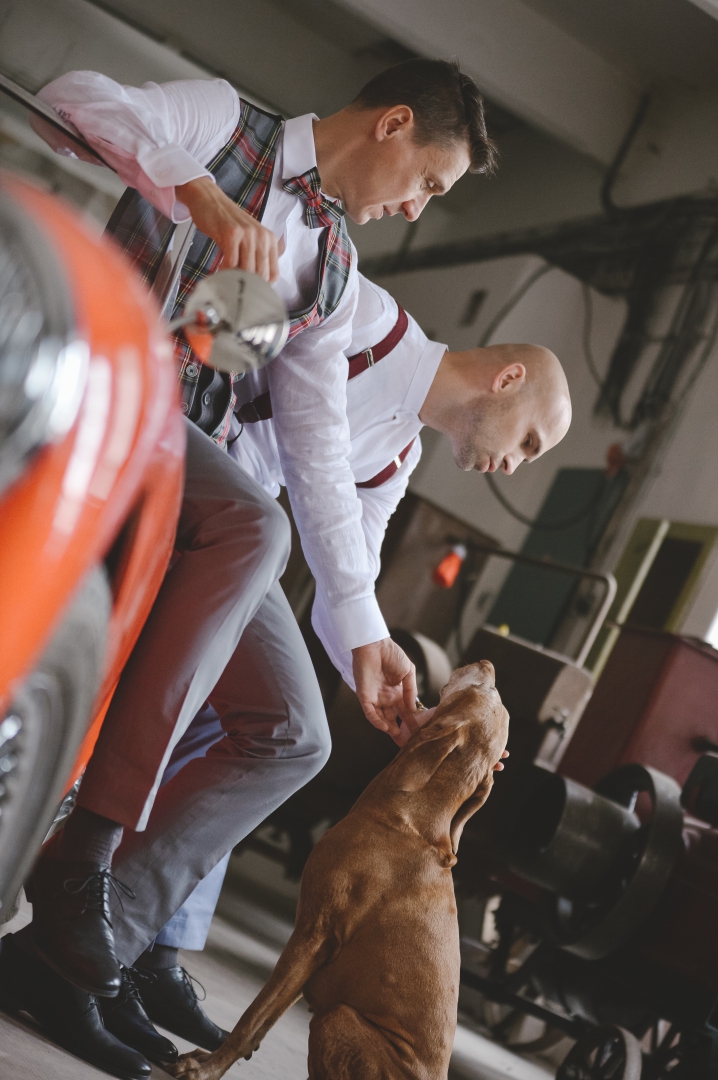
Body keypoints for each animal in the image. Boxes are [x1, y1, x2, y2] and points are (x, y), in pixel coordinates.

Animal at [168, 660, 509, 1080]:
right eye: (491, 689)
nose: (488, 663)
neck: (409, 819)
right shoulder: (317, 951)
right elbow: (262, 1023)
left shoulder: (314, 934)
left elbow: (252, 1018)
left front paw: (208, 1069)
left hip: (337, 1018)